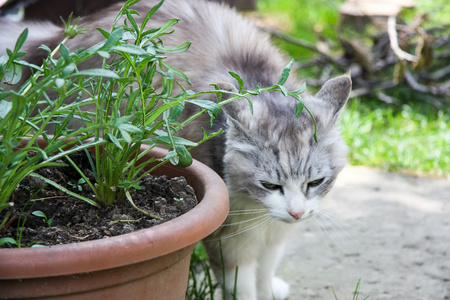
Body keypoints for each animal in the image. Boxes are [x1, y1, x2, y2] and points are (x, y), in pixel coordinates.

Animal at [0, 1, 352, 298]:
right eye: (269, 185)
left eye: (315, 183)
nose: (296, 213)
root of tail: (60, 37)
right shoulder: (229, 240)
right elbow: (241, 285)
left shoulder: (273, 237)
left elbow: (265, 274)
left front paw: (270, 288)